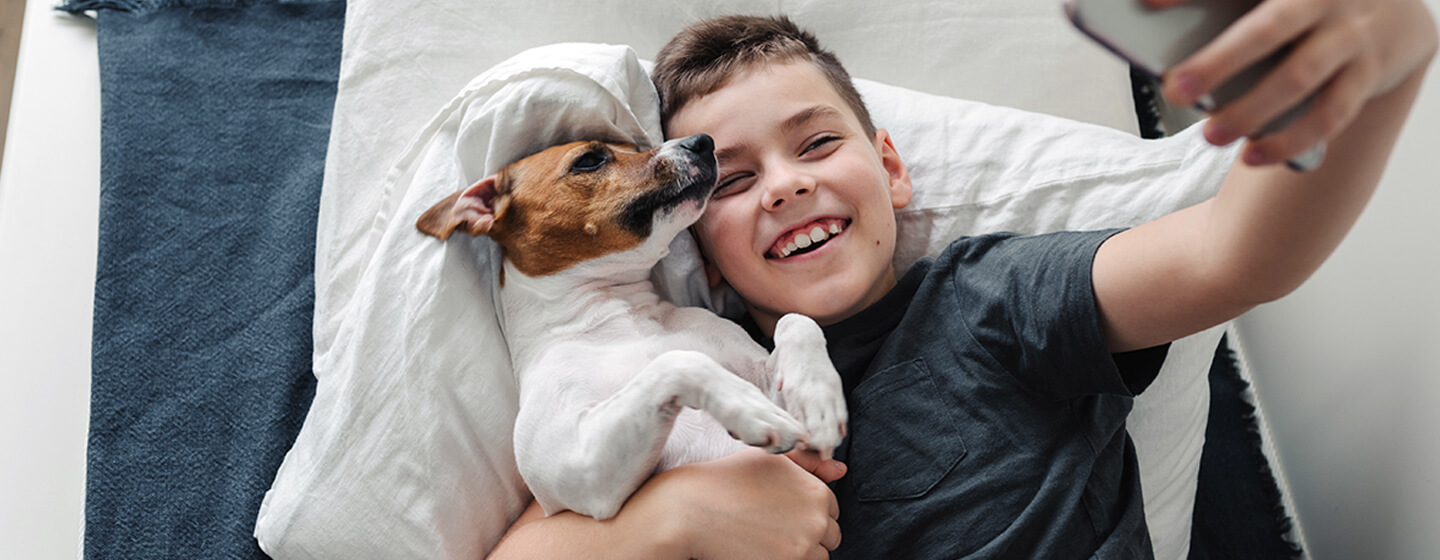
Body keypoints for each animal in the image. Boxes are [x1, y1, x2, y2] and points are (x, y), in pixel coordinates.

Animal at [414, 133, 840, 518]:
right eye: (589, 160)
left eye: (634, 148)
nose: (703, 142)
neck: (621, 313)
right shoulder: (578, 468)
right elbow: (678, 362)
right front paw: (751, 409)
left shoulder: (767, 378)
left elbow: (797, 320)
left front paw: (818, 398)